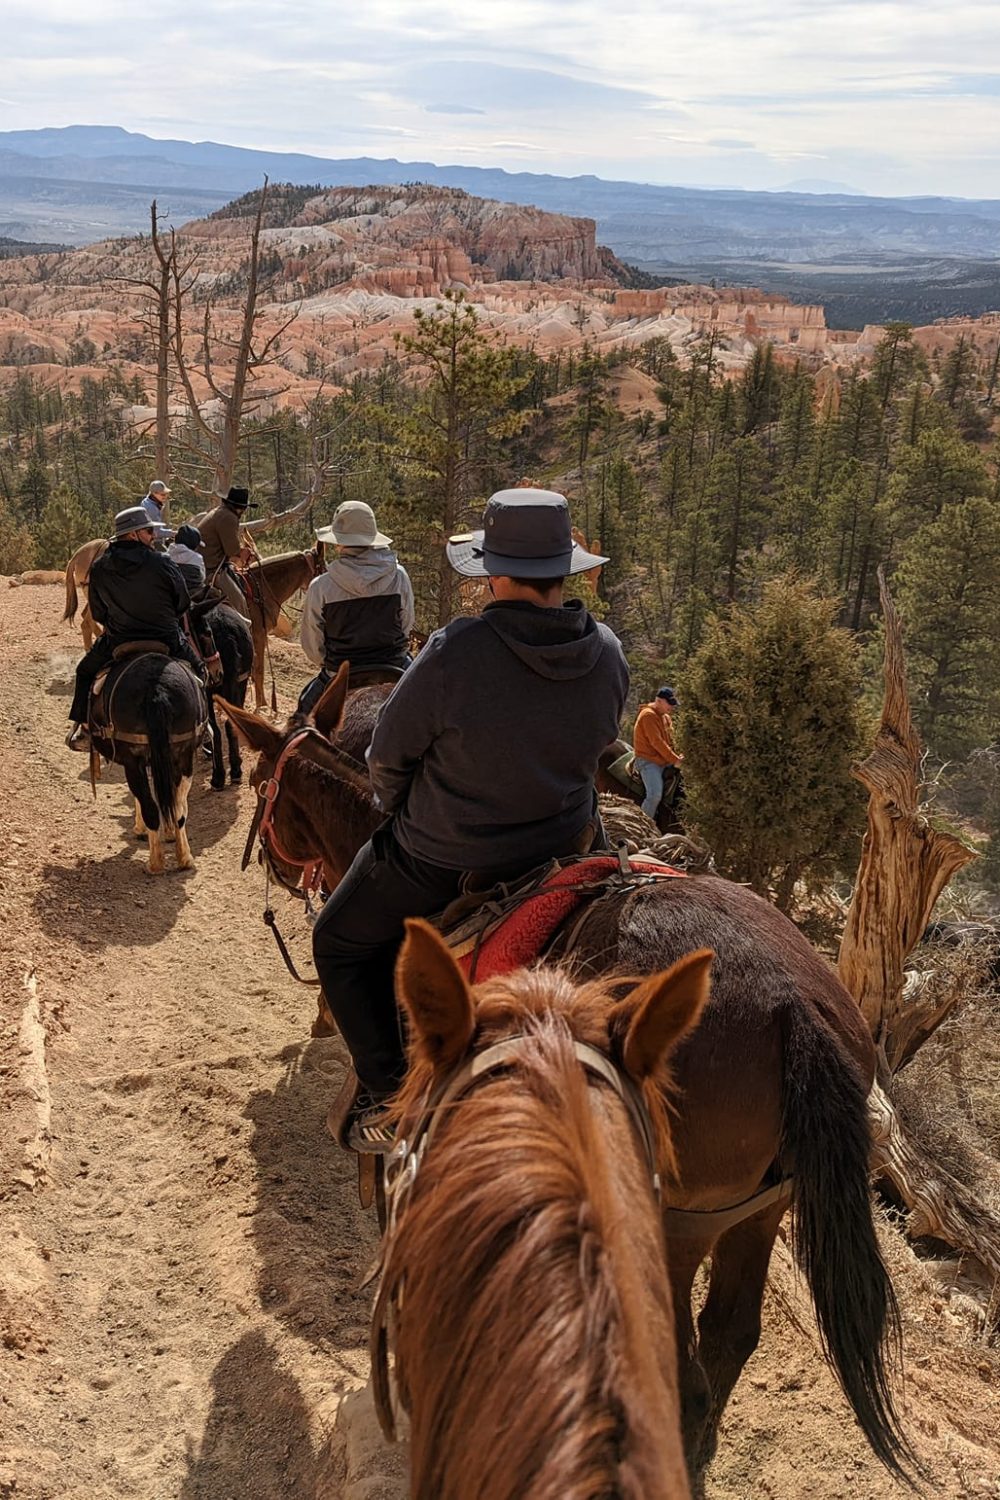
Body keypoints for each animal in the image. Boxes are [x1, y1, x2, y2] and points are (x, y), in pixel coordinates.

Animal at [91, 651, 208, 876]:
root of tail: (156, 688)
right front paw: (169, 831)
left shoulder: (134, 760)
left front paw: (140, 829)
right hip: (183, 754)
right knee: (179, 808)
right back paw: (184, 858)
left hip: (133, 760)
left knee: (149, 807)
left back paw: (155, 863)